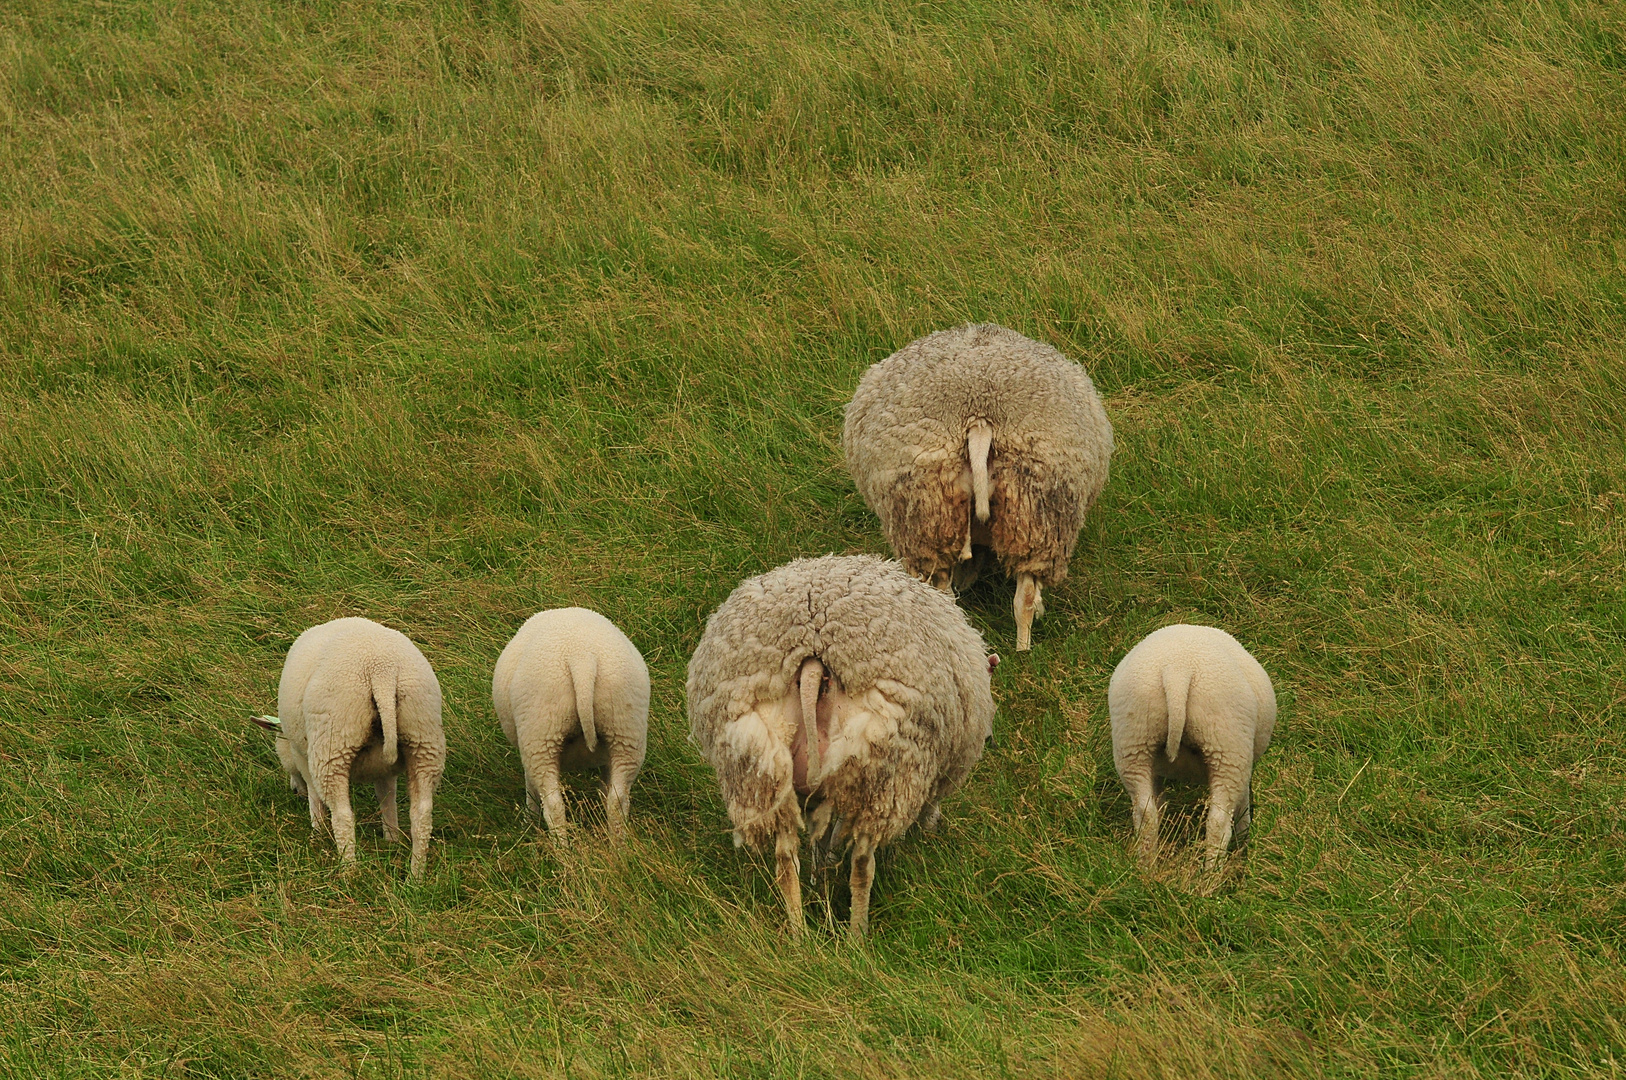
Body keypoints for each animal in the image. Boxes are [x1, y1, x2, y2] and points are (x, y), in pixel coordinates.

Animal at [491, 608, 650, 832]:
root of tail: (582, 658)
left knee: (554, 805)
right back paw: (618, 841)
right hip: (625, 729)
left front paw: (529, 820)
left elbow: (530, 785)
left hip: (540, 732)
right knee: (617, 800)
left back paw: (559, 841)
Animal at [682, 556, 995, 936]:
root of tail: (813, 648)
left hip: (757, 762)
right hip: (881, 770)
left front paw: (822, 872)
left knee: (784, 858)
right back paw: (857, 935)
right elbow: (929, 806)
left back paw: (799, 934)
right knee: (861, 863)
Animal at [845, 322, 1112, 650]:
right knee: (1017, 596)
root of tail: (980, 416)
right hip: (1033, 514)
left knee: (959, 596)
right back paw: (1022, 650)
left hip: (940, 517)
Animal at [1112, 624, 1274, 871]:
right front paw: (1243, 843)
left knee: (1146, 814)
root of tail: (1177, 671)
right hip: (1228, 745)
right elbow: (1243, 809)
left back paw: (1147, 869)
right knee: (1218, 823)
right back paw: (1211, 877)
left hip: (1133, 741)